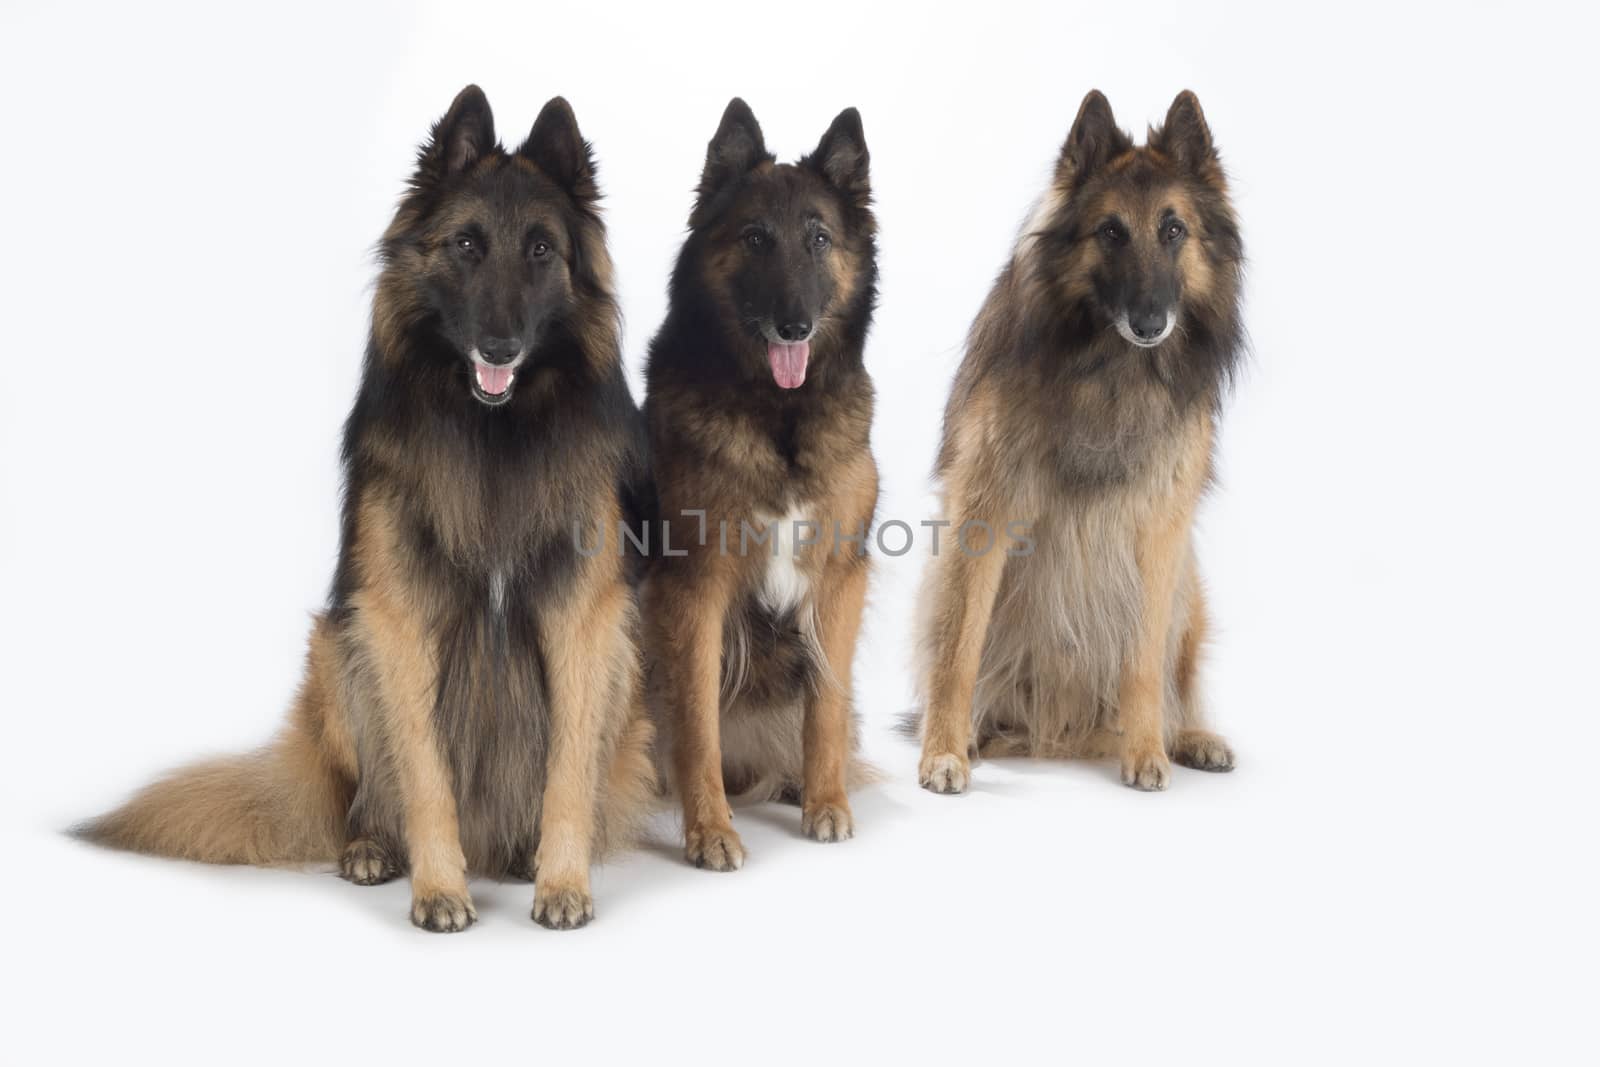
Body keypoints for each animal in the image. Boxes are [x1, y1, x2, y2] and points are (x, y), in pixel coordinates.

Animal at [78, 87, 656, 927]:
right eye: (467, 245)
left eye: (542, 251)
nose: (501, 346)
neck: (494, 436)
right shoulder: (394, 616)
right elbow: (424, 773)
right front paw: (439, 885)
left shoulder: (584, 618)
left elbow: (567, 774)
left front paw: (562, 881)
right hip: (338, 647)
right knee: (362, 796)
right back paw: (372, 846)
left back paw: (521, 855)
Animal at [643, 95, 883, 870]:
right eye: (754, 238)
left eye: (818, 239)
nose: (793, 325)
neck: (780, 418)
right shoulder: (696, 588)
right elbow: (696, 725)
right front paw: (710, 830)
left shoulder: (839, 578)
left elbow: (826, 709)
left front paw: (826, 802)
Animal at [915, 89, 1248, 793]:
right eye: (1111, 232)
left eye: (1173, 230)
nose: (1150, 323)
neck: (1110, 370)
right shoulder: (982, 513)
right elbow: (958, 651)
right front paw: (943, 752)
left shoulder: (1160, 531)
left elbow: (1144, 660)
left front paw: (1148, 751)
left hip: (1190, 591)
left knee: (1178, 677)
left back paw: (1189, 737)